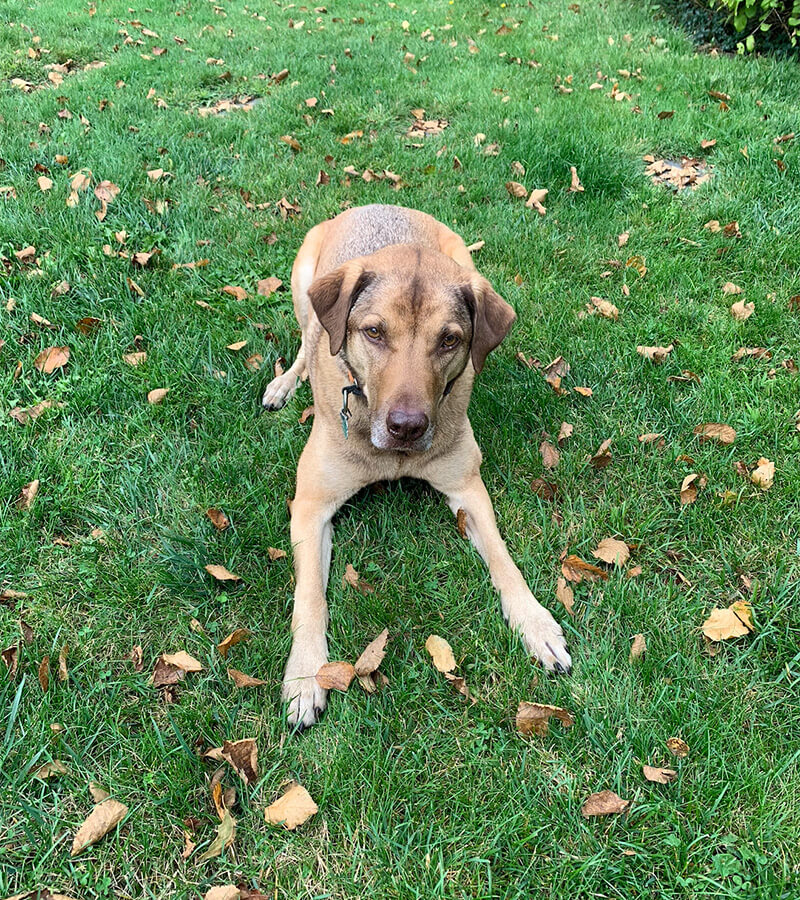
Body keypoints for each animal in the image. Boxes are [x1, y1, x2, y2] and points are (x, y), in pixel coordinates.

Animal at [266, 202, 572, 724]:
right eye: (373, 332)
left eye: (449, 340)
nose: (407, 427)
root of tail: (379, 204)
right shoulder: (310, 506)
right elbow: (309, 597)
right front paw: (306, 675)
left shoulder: (468, 487)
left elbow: (503, 559)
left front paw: (536, 624)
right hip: (303, 281)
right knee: (308, 340)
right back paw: (285, 383)